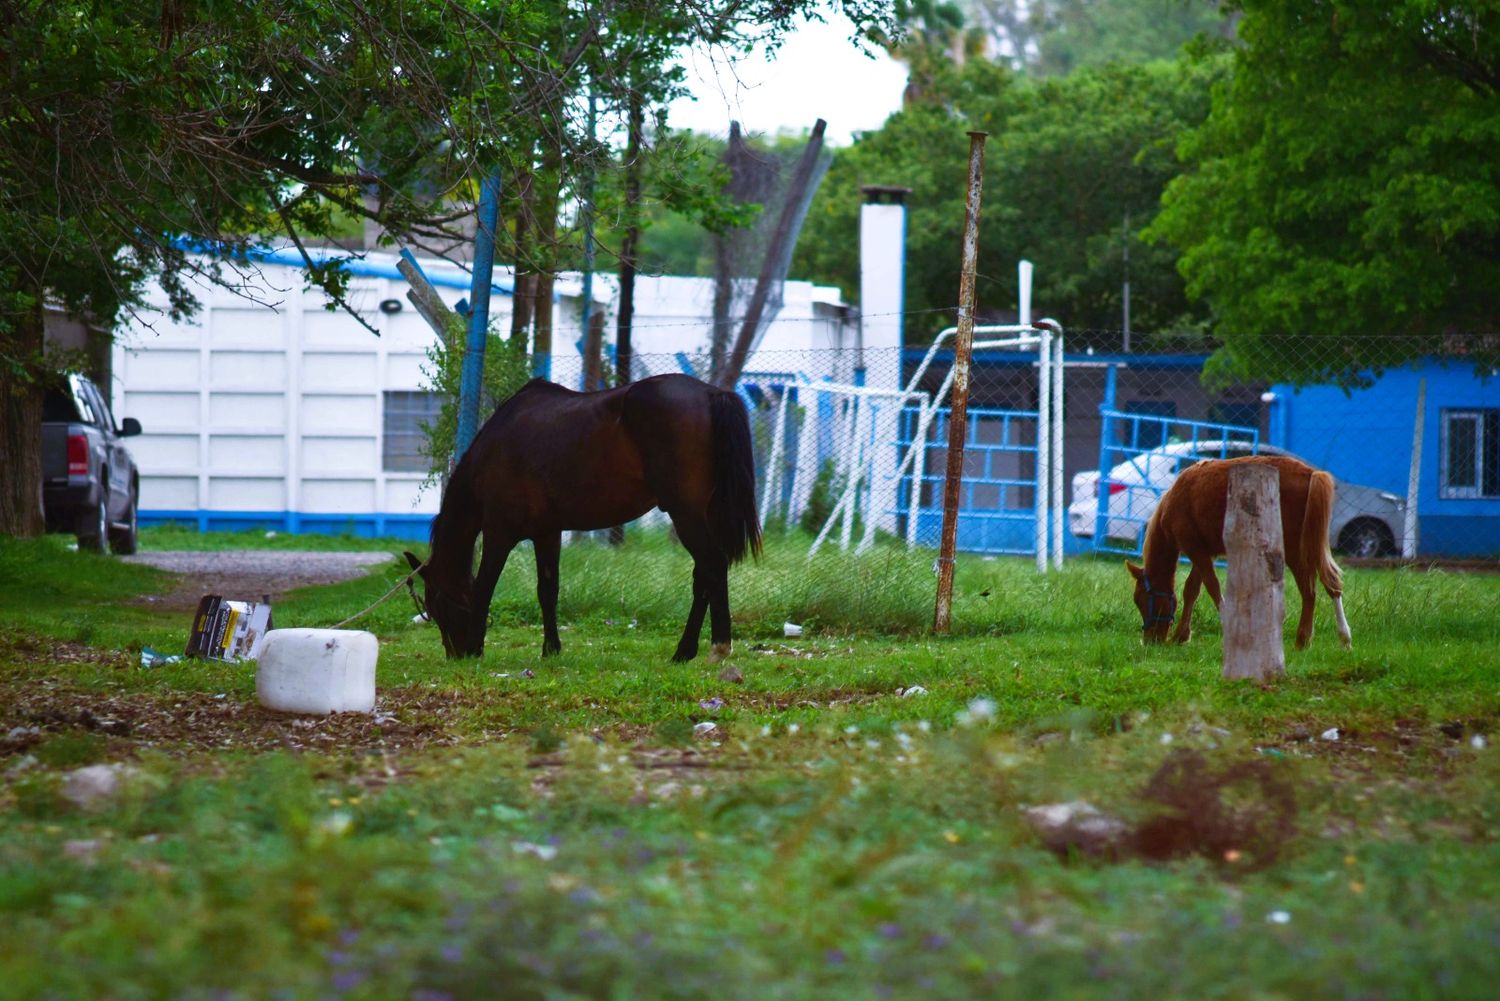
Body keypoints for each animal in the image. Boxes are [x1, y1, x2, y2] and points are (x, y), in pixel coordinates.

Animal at [405, 372, 762, 660]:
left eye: (437, 604)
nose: (455, 654)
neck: (493, 452)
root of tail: (712, 394)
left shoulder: (498, 534)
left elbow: (484, 588)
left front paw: (476, 648)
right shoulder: (547, 533)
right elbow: (547, 590)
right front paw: (551, 649)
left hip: (685, 513)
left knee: (712, 565)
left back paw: (718, 648)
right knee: (704, 575)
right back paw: (684, 652)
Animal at [1128, 453, 1350, 651]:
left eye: (1141, 600)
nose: (1150, 640)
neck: (1176, 499)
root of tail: (1311, 473)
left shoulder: (1195, 549)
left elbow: (1212, 587)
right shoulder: (1204, 551)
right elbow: (1192, 589)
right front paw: (1181, 635)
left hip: (1295, 549)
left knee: (1309, 590)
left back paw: (1304, 640)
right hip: (1311, 543)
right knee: (1330, 582)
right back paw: (1343, 638)